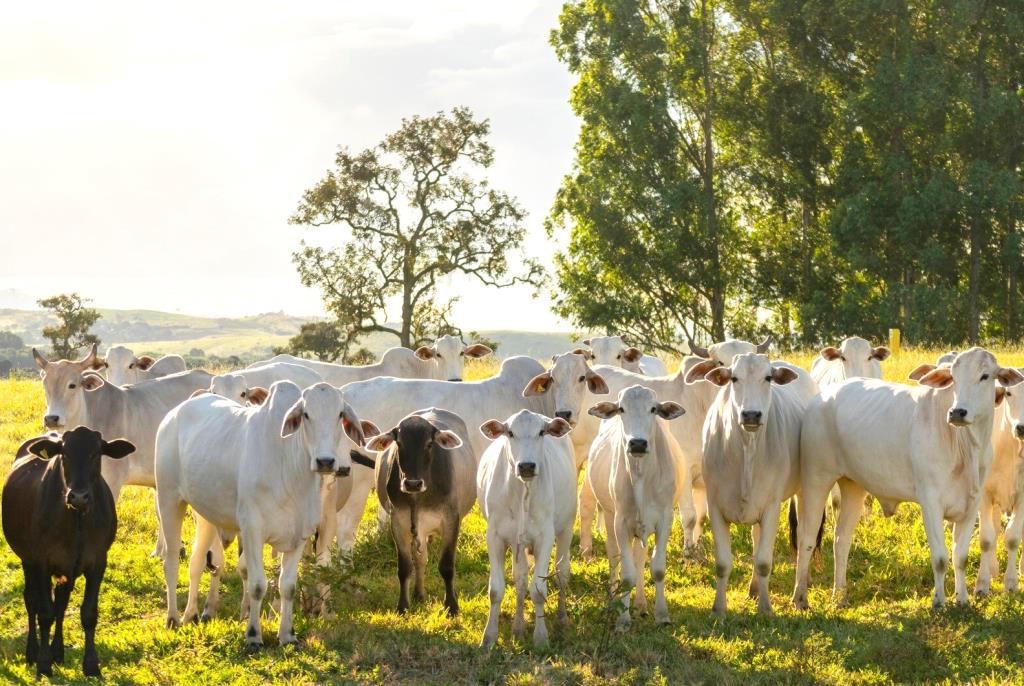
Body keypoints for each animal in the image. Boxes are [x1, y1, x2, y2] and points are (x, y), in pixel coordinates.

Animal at [155, 380, 368, 651]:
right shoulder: (252, 531)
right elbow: (257, 585)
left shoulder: (301, 535)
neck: (290, 469)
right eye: (306, 414)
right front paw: (253, 634)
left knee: (196, 562)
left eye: (340, 414)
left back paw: (191, 614)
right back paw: (173, 618)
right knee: (171, 560)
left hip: (205, 515)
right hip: (169, 500)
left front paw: (287, 634)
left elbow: (288, 586)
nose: (325, 461)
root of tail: (175, 412)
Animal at [477, 411, 577, 651]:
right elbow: (496, 589)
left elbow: (538, 590)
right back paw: (518, 627)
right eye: (510, 433)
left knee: (562, 573)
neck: (522, 490)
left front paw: (541, 637)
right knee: (521, 578)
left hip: (566, 529)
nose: (527, 466)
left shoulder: (545, 537)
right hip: (518, 542)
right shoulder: (495, 536)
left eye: (541, 432)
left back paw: (561, 619)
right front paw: (489, 637)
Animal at [585, 387, 688, 630]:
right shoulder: (621, 522)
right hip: (610, 517)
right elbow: (626, 575)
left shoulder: (665, 519)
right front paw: (623, 620)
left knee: (639, 557)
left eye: (653, 409)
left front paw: (662, 615)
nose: (638, 443)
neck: (641, 476)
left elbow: (657, 568)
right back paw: (612, 603)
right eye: (622, 409)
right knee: (614, 556)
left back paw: (641, 604)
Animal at [692, 354, 802, 618]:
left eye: (768, 377)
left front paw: (766, 609)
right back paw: (753, 590)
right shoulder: (715, 507)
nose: (751, 415)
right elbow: (723, 563)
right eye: (734, 378)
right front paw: (718, 609)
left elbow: (763, 561)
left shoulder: (772, 508)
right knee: (755, 538)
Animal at [786, 346, 1019, 610]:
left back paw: (840, 595)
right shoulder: (930, 503)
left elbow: (960, 557)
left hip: (853, 486)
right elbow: (940, 557)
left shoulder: (972, 505)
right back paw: (800, 597)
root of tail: (821, 397)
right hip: (816, 480)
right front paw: (939, 601)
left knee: (841, 540)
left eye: (985, 376)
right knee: (806, 538)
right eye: (953, 377)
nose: (957, 412)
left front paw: (962, 599)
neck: (965, 446)